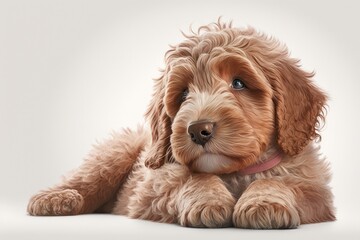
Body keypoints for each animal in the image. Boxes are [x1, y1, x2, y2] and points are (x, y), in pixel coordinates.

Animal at [27, 21, 334, 229]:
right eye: (184, 94)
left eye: (238, 83)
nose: (198, 130)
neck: (235, 172)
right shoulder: (154, 187)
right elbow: (192, 177)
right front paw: (209, 201)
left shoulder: (318, 193)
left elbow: (281, 182)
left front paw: (264, 203)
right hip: (114, 154)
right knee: (83, 180)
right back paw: (55, 199)